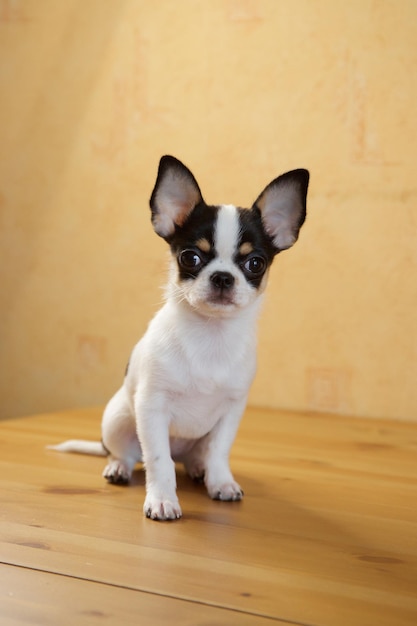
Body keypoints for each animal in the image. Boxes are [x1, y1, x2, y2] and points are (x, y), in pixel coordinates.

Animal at [50, 155, 308, 516]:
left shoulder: (230, 412)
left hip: (191, 440)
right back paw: (118, 467)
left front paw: (221, 483)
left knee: (194, 458)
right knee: (130, 454)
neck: (209, 336)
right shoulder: (152, 408)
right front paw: (162, 500)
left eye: (255, 263)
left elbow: (219, 452)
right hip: (119, 420)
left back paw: (200, 470)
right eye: (190, 257)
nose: (223, 277)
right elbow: (159, 461)